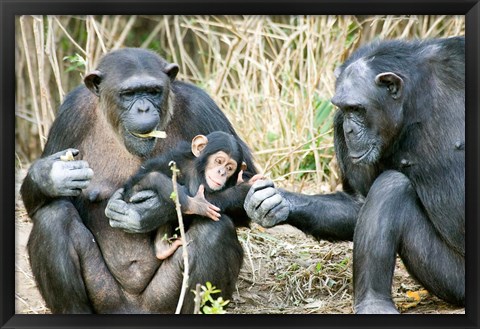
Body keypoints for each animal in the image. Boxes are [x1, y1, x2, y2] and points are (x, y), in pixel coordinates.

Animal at [122, 131, 260, 258]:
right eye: (219, 161)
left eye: (230, 168)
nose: (221, 172)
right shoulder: (193, 174)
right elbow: (207, 197)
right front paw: (244, 188)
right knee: (155, 177)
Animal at [246, 36, 464, 312]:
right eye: (345, 109)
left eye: (357, 109)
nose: (349, 130)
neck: (414, 100)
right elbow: (359, 201)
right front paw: (277, 201)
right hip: (452, 280)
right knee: (392, 186)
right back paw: (374, 302)